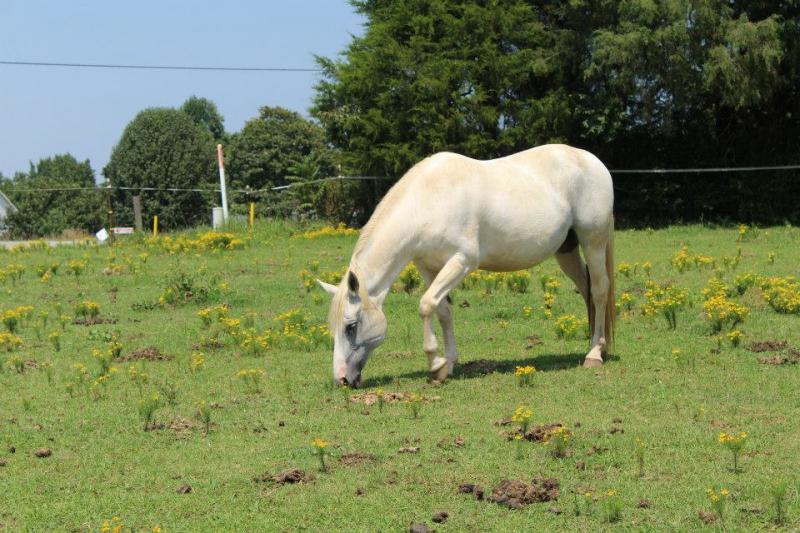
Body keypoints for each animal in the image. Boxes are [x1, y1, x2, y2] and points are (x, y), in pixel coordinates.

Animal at [317, 144, 615, 387]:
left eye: (351, 326)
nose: (341, 379)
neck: (428, 200)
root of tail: (592, 161)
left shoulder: (462, 261)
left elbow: (426, 305)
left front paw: (435, 364)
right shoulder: (428, 267)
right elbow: (443, 310)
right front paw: (447, 364)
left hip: (593, 242)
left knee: (600, 290)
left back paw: (594, 355)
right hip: (567, 251)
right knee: (587, 290)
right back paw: (597, 345)